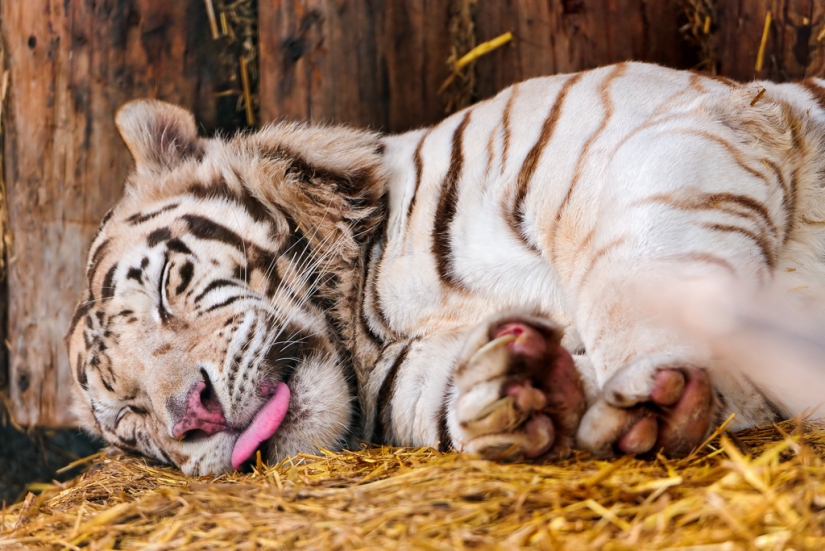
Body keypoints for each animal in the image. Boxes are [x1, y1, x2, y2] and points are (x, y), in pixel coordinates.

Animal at [66, 61, 825, 476]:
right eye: (129, 416)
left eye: (166, 287)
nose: (193, 415)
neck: (362, 318)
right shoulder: (410, 377)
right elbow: (446, 398)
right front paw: (523, 388)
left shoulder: (646, 130)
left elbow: (636, 273)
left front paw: (645, 393)